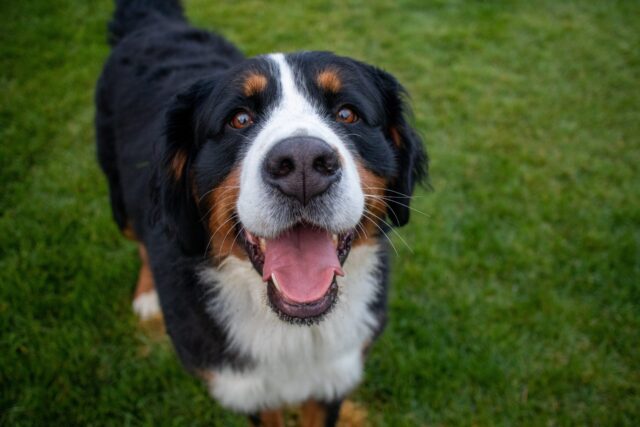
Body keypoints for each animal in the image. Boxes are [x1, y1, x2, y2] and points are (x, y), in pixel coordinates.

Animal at [95, 0, 428, 424]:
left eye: (347, 113)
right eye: (239, 119)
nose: (302, 164)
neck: (292, 329)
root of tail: (154, 23)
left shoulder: (334, 375)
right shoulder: (248, 388)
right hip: (121, 201)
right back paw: (147, 296)